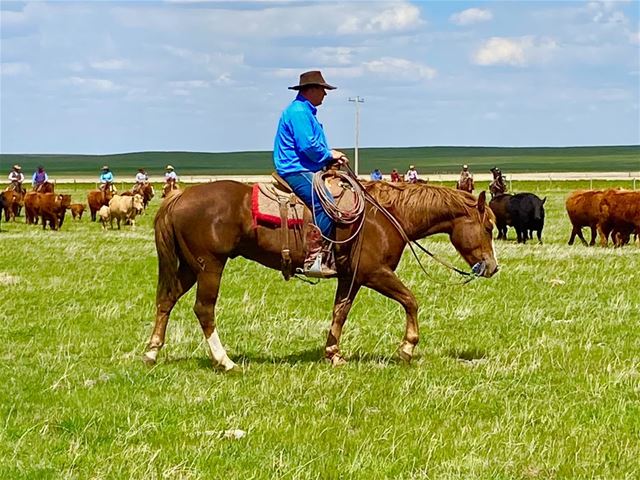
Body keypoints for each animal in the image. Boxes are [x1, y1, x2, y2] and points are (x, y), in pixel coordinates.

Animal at [145, 180, 500, 372]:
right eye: (488, 227)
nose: (492, 267)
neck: (387, 215)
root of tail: (179, 197)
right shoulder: (374, 273)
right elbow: (411, 301)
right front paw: (407, 348)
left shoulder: (351, 278)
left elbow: (339, 312)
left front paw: (333, 354)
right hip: (210, 267)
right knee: (204, 309)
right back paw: (225, 361)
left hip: (189, 267)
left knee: (166, 300)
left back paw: (152, 352)